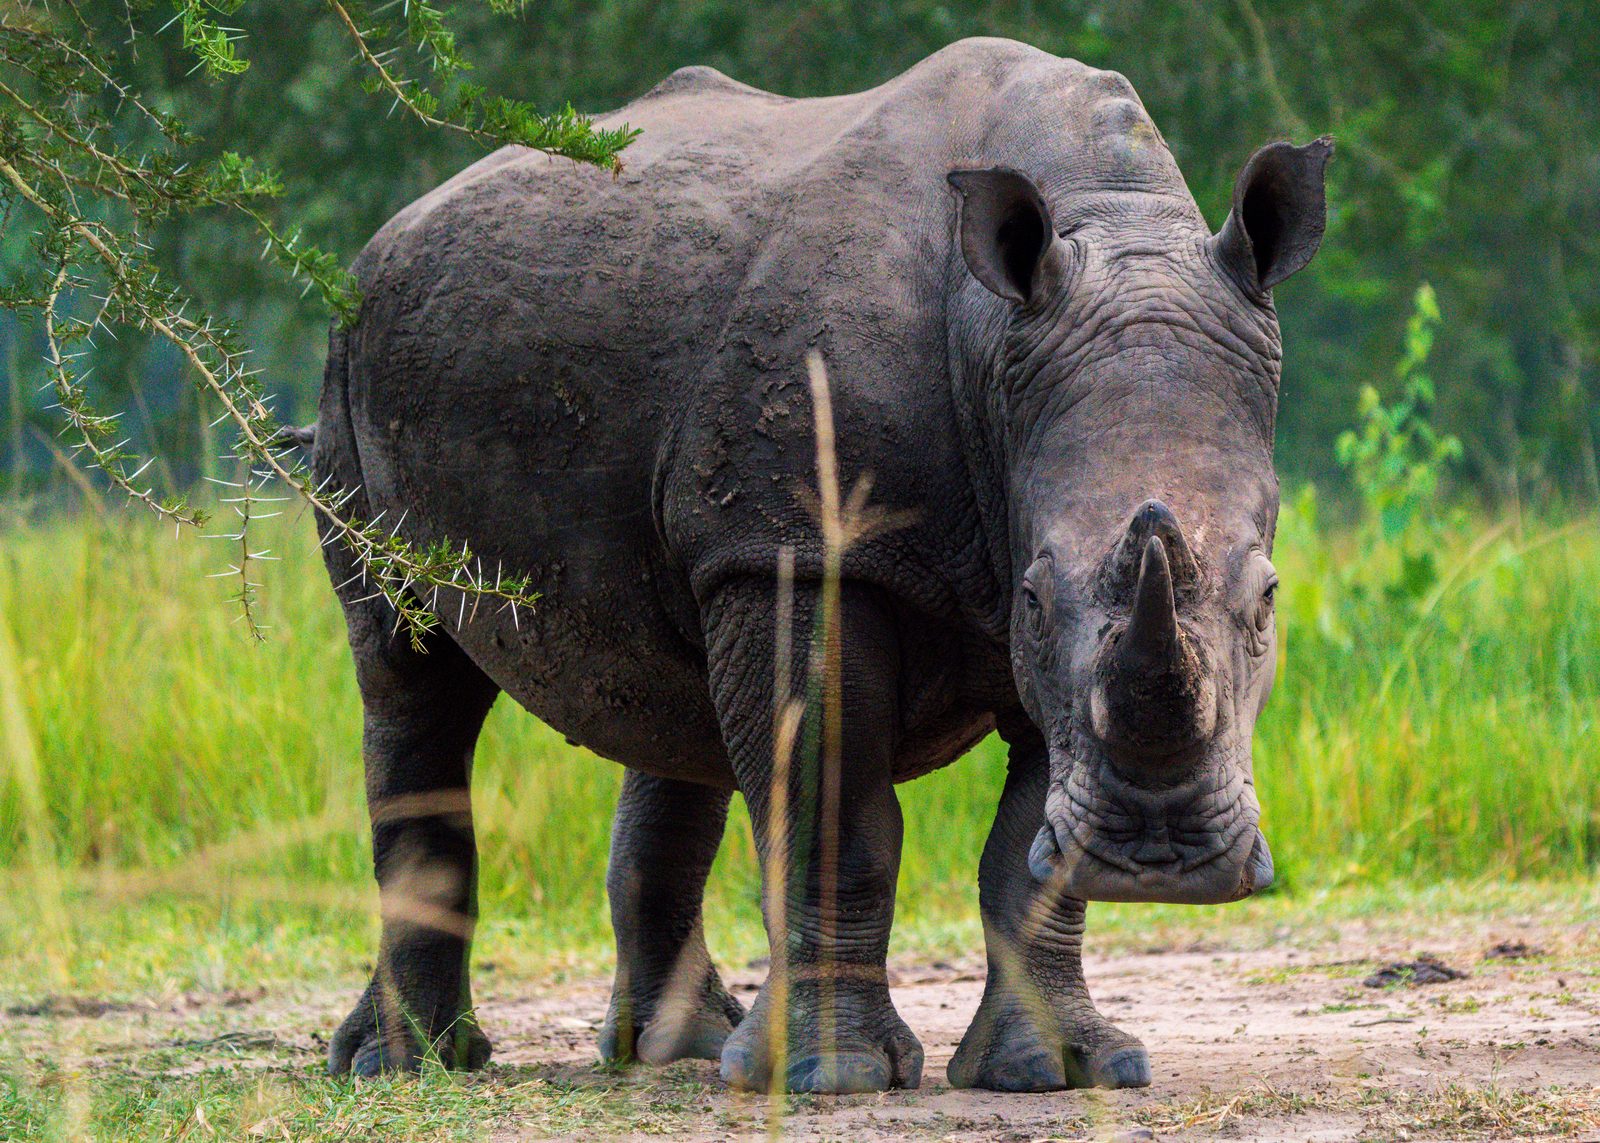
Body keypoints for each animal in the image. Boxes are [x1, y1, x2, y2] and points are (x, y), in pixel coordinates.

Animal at [310, 37, 1329, 1093]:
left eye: (1268, 596)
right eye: (1037, 597)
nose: (1157, 854)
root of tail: (390, 231)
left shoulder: (998, 574)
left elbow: (1023, 846)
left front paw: (1063, 1067)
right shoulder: (802, 549)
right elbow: (837, 807)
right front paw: (833, 1075)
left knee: (671, 698)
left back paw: (680, 1049)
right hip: (348, 359)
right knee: (406, 672)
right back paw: (406, 1064)